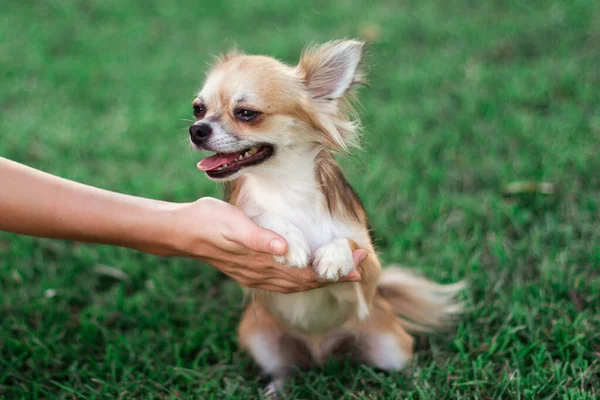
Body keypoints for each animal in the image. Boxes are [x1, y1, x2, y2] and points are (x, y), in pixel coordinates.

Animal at [190, 40, 462, 394]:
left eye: (246, 113)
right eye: (198, 109)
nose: (196, 129)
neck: (285, 186)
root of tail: (321, 351)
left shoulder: (370, 270)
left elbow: (348, 243)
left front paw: (333, 256)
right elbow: (263, 216)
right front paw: (290, 241)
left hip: (389, 342)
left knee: (401, 363)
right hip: (259, 336)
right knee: (285, 369)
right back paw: (277, 390)